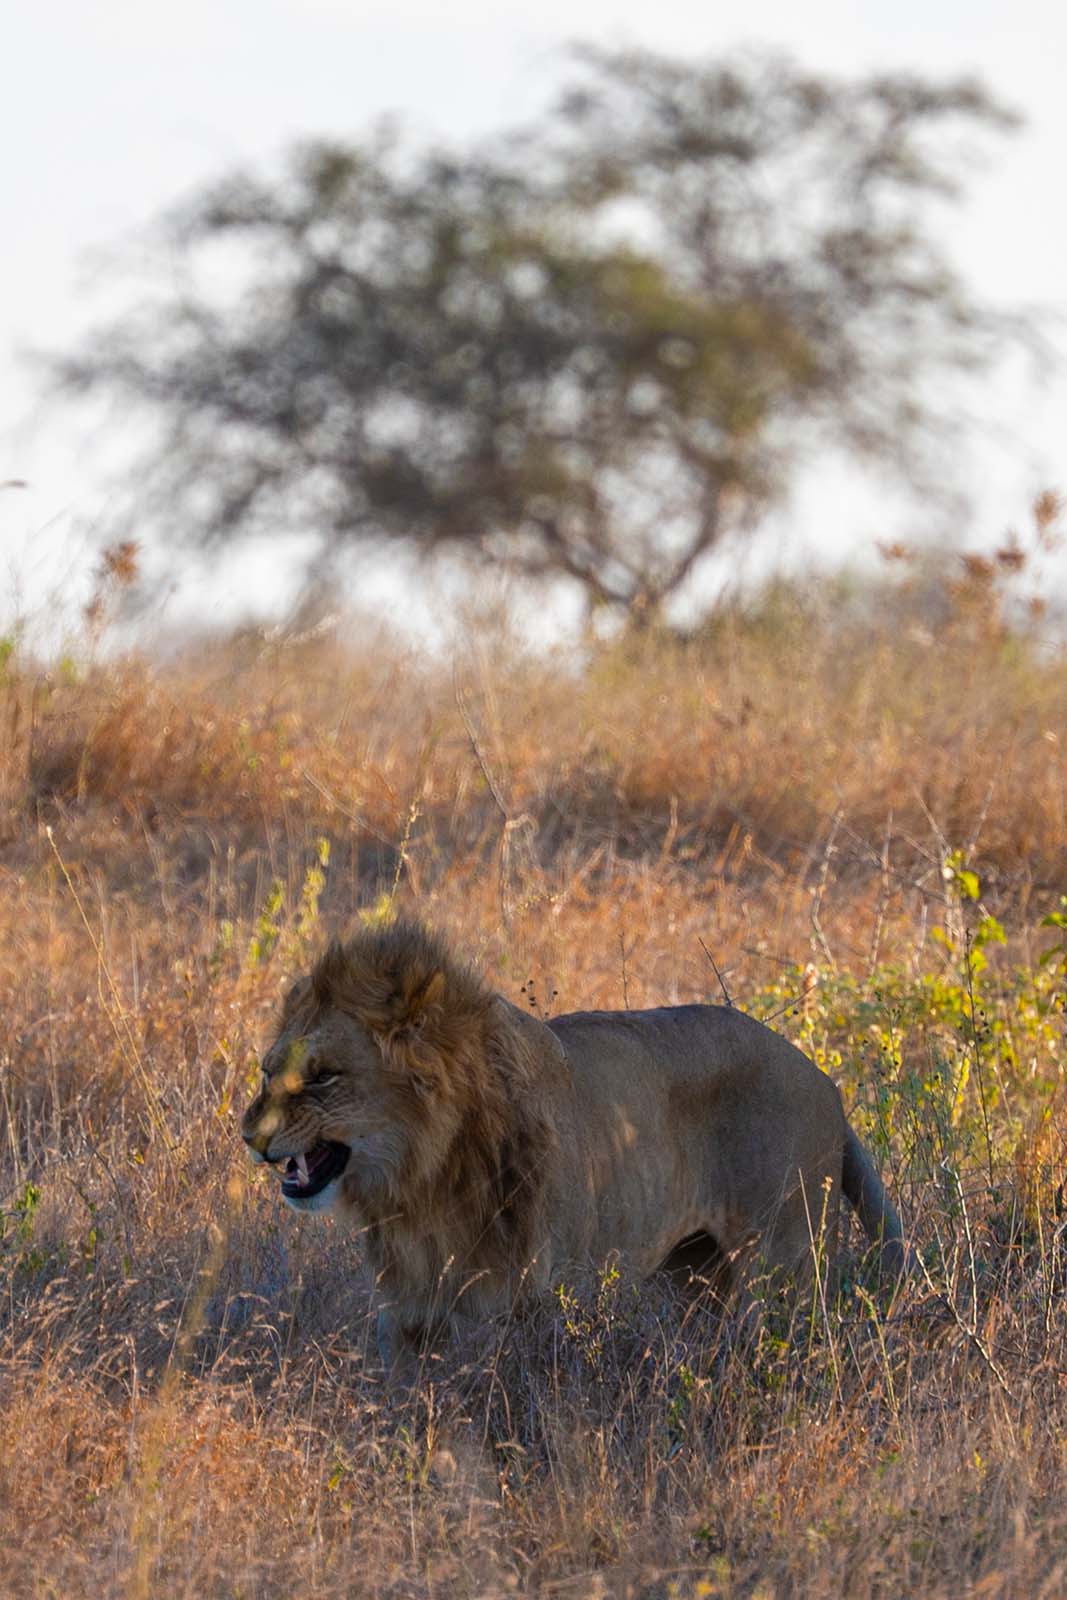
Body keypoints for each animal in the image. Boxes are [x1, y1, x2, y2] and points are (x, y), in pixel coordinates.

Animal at [241, 921, 909, 1371]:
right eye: (268, 1070)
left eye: (324, 1076)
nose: (249, 1135)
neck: (421, 1181)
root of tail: (826, 1080)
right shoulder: (406, 1314)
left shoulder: (537, 1303)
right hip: (694, 1276)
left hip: (782, 1272)